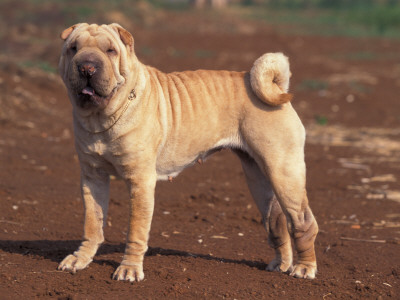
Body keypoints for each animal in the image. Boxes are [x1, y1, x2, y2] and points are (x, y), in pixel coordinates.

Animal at [57, 22, 318, 282]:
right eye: (73, 48)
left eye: (110, 50)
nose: (87, 67)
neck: (100, 119)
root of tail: (275, 86)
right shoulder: (93, 177)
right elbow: (93, 222)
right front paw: (80, 259)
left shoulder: (140, 181)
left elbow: (135, 230)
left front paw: (129, 268)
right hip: (258, 176)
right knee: (276, 220)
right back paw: (280, 264)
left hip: (283, 170)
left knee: (303, 222)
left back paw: (304, 268)